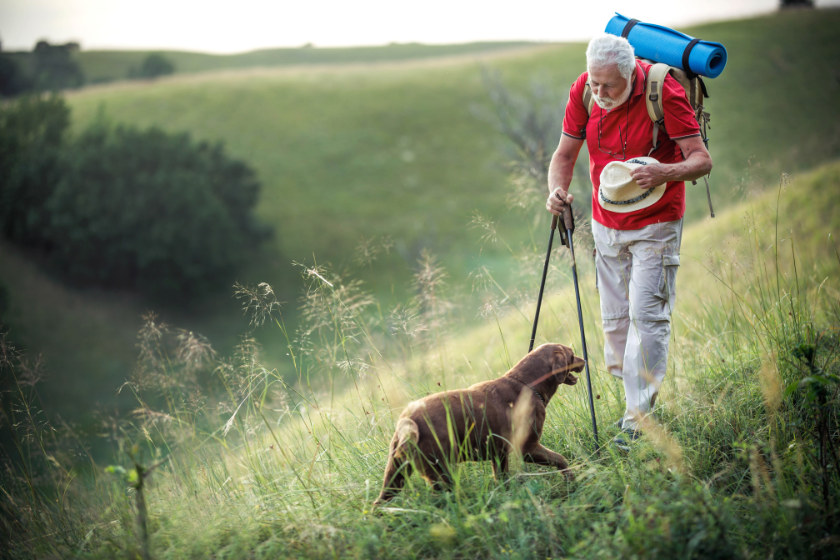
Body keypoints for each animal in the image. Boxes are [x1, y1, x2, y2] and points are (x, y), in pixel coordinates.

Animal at [374, 342, 584, 508]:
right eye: (572, 354)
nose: (584, 360)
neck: (527, 385)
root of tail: (407, 420)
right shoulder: (528, 447)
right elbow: (561, 460)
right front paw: (571, 482)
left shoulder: (499, 455)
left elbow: (502, 480)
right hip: (442, 472)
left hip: (395, 474)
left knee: (381, 501)